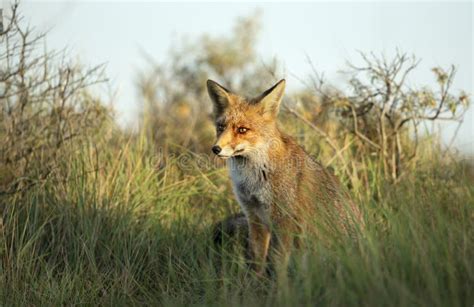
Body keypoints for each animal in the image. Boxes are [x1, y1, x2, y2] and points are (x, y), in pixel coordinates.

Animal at [207, 79, 362, 276]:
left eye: (242, 129)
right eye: (220, 127)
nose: (216, 149)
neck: (255, 177)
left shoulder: (284, 219)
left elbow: (278, 262)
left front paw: (279, 285)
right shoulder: (254, 215)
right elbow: (257, 260)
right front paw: (253, 283)